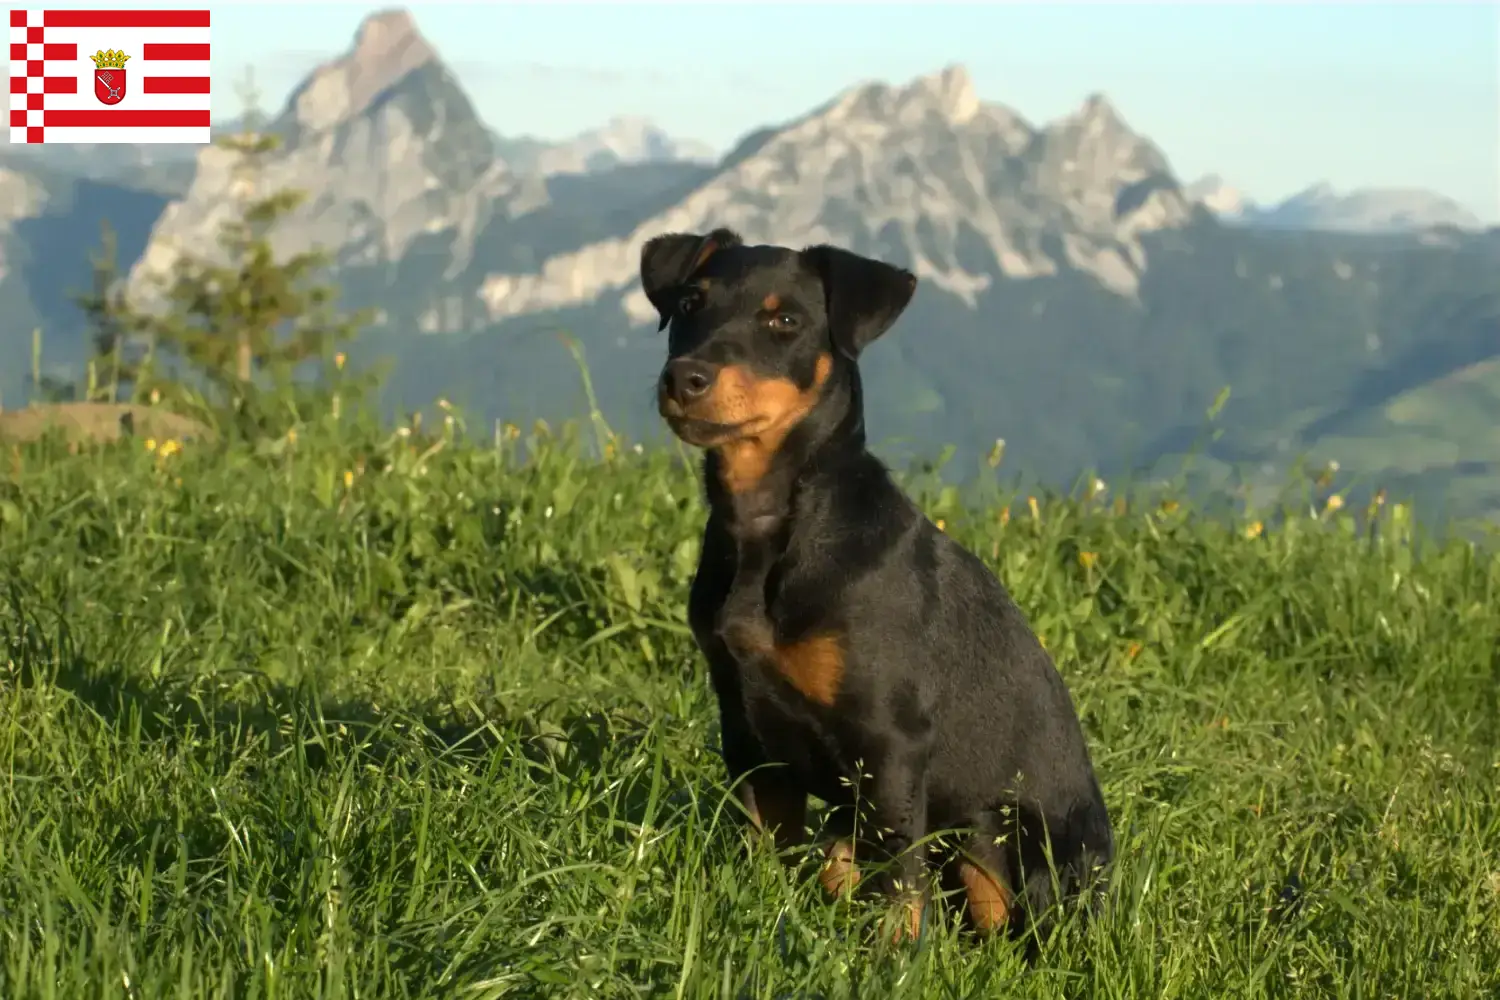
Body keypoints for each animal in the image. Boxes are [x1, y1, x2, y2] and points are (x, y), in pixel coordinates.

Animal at [645, 229, 1116, 947]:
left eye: (786, 322)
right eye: (690, 303)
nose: (683, 378)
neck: (770, 523)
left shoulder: (891, 739)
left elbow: (899, 878)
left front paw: (892, 954)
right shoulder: (746, 729)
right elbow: (771, 847)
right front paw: (764, 913)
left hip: (1007, 832)